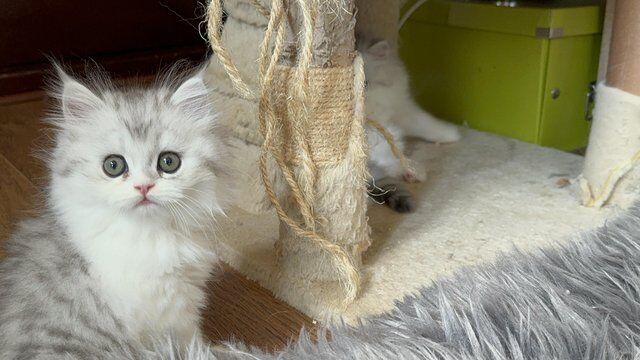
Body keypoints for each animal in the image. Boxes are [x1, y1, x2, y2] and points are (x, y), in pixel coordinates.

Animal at [0, 64, 230, 358]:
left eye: (169, 162)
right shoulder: (170, 309)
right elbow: (190, 343)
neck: (147, 235)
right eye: (113, 165)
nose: (144, 187)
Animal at [360, 38, 460, 214]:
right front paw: (413, 169)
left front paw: (451, 134)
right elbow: (390, 151)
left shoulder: (403, 109)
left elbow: (424, 124)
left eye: (365, 84)